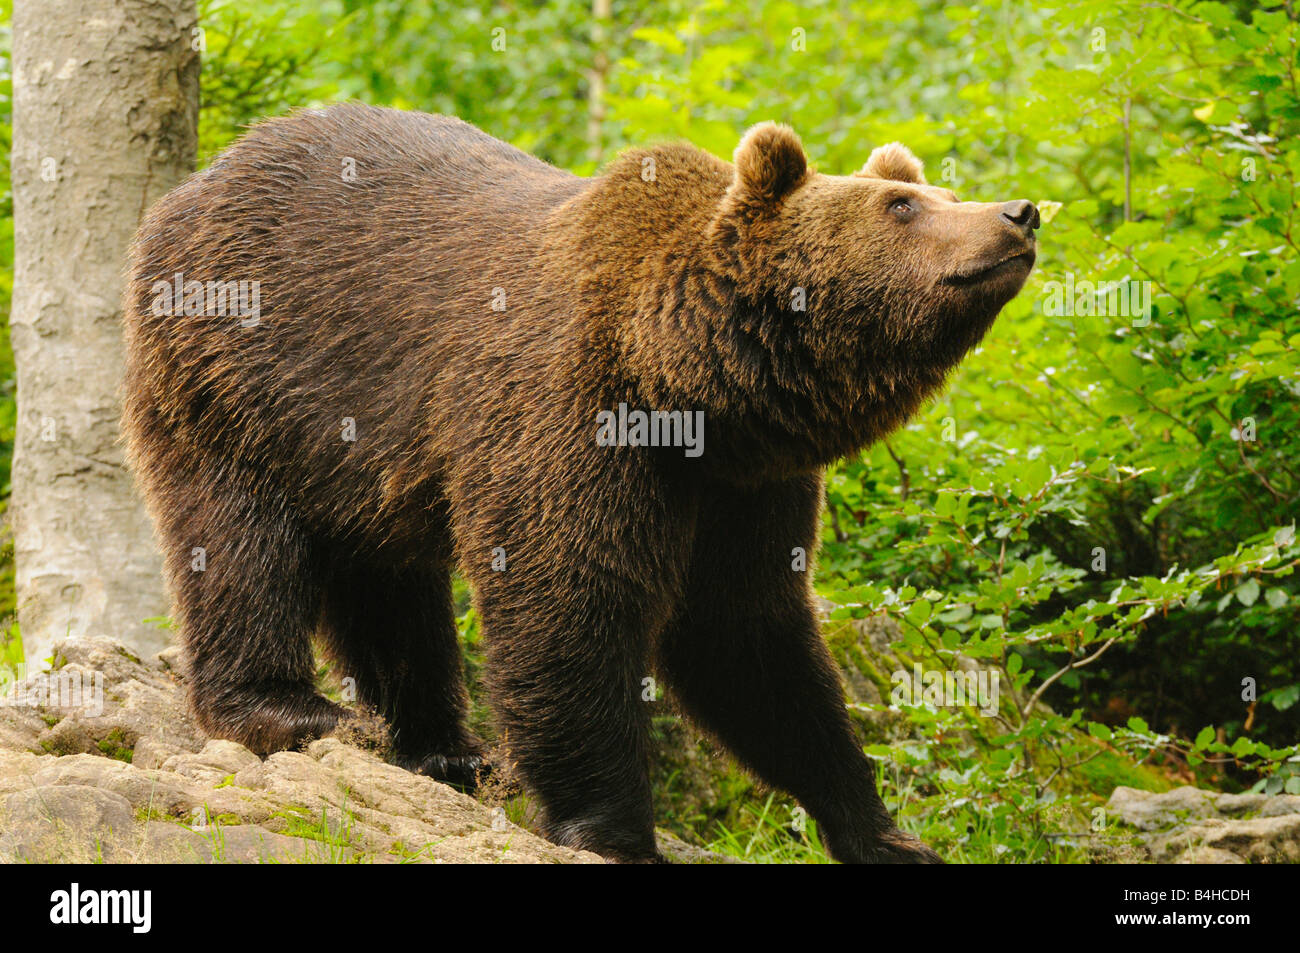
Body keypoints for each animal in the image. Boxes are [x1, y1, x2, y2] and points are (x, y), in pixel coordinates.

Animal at [122, 104, 1034, 863]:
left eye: (939, 191)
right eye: (901, 206)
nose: (1019, 213)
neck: (686, 381)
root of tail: (194, 183)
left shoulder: (743, 483)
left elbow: (748, 634)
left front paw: (884, 830)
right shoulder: (573, 415)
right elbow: (568, 602)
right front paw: (614, 828)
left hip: (354, 448)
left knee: (388, 579)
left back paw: (443, 745)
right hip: (240, 373)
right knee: (241, 541)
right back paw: (293, 707)